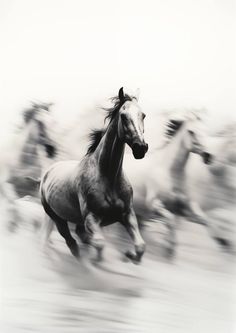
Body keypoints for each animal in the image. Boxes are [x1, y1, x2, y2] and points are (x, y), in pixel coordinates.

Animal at [40, 87, 148, 262]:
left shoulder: (127, 214)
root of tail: (48, 173)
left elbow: (140, 246)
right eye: (123, 116)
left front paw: (129, 254)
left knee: (77, 235)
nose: (141, 148)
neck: (109, 178)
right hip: (57, 218)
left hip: (76, 220)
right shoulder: (91, 218)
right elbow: (99, 244)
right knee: (70, 240)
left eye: (143, 115)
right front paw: (95, 260)